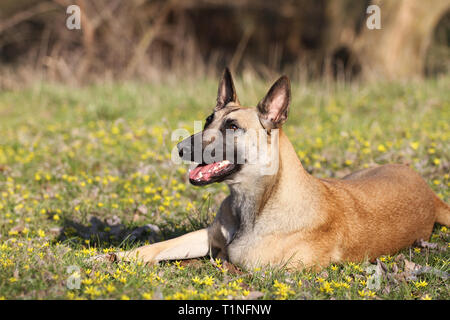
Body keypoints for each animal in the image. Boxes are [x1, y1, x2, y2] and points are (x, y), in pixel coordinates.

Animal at [96, 68, 450, 270]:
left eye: (232, 127)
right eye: (209, 119)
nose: (181, 149)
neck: (256, 200)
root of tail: (430, 195)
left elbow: (225, 261)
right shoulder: (206, 234)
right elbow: (154, 247)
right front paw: (108, 257)